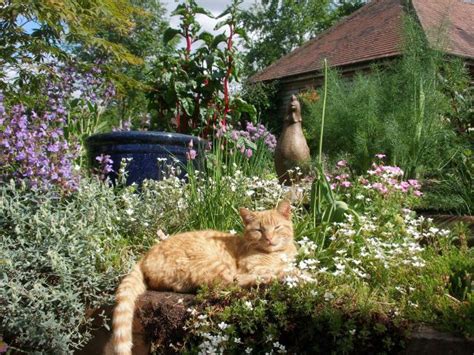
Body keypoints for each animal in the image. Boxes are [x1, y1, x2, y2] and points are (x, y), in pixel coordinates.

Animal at [112, 202, 294, 354]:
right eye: (259, 230)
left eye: (277, 227)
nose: (269, 239)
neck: (278, 253)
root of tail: (145, 255)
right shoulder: (250, 268)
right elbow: (278, 270)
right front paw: (293, 274)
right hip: (215, 265)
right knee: (232, 283)